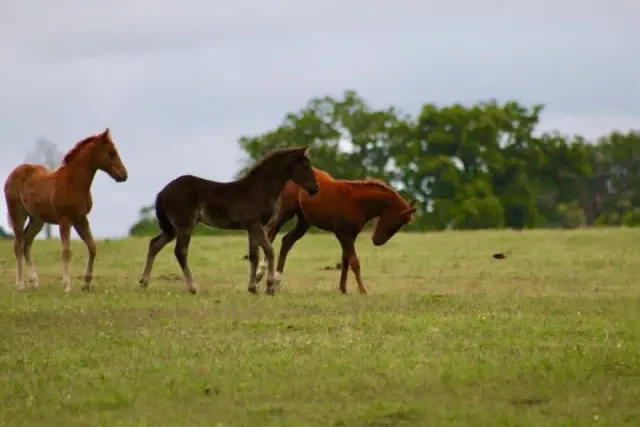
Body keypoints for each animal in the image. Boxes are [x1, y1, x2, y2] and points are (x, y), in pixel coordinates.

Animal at [4, 128, 129, 293]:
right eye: (111, 153)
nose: (124, 175)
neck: (74, 183)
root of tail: (12, 174)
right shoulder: (65, 220)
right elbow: (66, 252)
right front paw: (67, 286)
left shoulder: (81, 219)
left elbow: (92, 247)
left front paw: (86, 283)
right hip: (18, 214)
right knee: (18, 245)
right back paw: (20, 285)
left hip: (37, 220)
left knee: (26, 243)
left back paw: (35, 282)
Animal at [137, 146, 319, 296]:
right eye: (305, 166)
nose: (315, 189)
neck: (260, 189)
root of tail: (162, 192)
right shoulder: (254, 224)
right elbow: (269, 250)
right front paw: (270, 287)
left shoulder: (252, 227)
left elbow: (254, 255)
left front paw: (253, 288)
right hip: (184, 225)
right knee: (180, 251)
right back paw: (193, 287)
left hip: (172, 228)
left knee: (154, 244)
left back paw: (144, 283)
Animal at [253, 167, 416, 294]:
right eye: (397, 223)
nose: (377, 241)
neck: (357, 202)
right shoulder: (343, 233)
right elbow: (354, 261)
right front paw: (362, 290)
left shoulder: (351, 234)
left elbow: (345, 260)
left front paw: (343, 289)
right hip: (287, 210)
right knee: (272, 231)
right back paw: (260, 275)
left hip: (304, 220)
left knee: (287, 241)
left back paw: (277, 280)